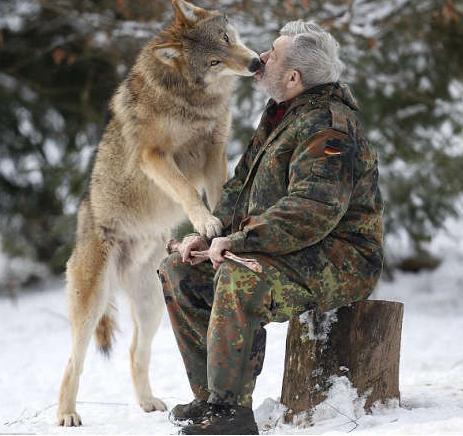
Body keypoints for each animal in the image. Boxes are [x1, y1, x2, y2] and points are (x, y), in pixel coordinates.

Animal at [56, 0, 260, 428]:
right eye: (214, 61)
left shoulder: (214, 149)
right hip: (91, 305)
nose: (254, 63)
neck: (191, 99)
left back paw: (148, 403)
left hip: (152, 307)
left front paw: (220, 226)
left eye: (227, 39)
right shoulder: (155, 156)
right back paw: (66, 415)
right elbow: (186, 191)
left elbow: (218, 190)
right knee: (73, 361)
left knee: (136, 352)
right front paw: (205, 221)